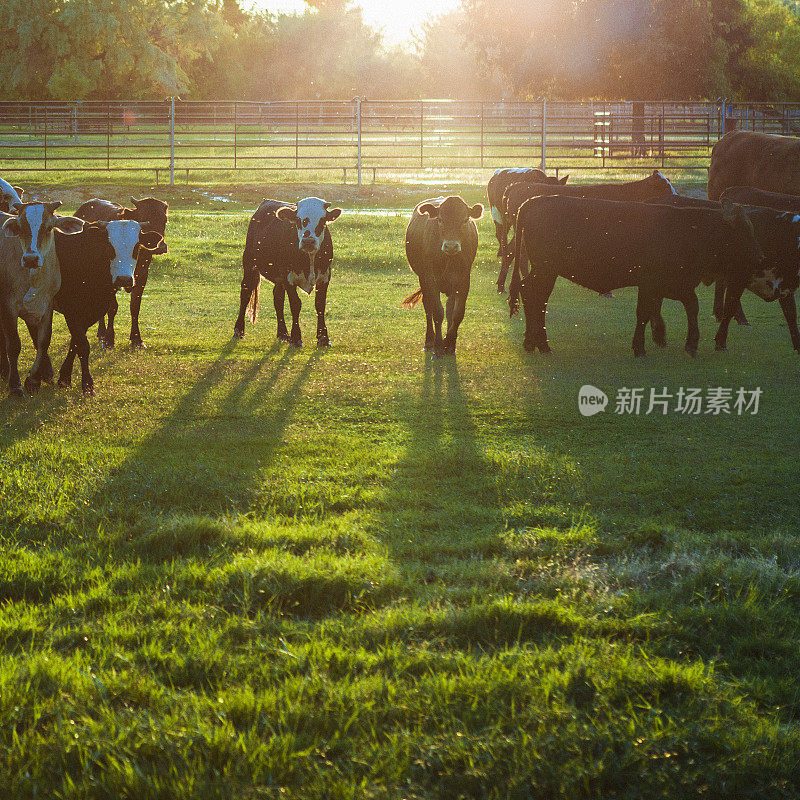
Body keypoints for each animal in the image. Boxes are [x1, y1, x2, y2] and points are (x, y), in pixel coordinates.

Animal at [75, 197, 169, 346]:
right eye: (144, 217)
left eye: (164, 219)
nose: (161, 247)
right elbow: (112, 308)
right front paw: (109, 338)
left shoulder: (141, 277)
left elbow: (135, 307)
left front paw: (136, 338)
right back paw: (102, 333)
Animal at [233, 197, 342, 346]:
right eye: (298, 219)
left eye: (323, 220)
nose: (308, 241)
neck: (310, 259)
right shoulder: (288, 278)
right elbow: (295, 304)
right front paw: (296, 338)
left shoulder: (325, 276)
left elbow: (320, 304)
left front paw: (323, 338)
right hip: (249, 265)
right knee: (245, 294)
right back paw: (238, 330)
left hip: (278, 278)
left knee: (278, 299)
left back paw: (283, 333)